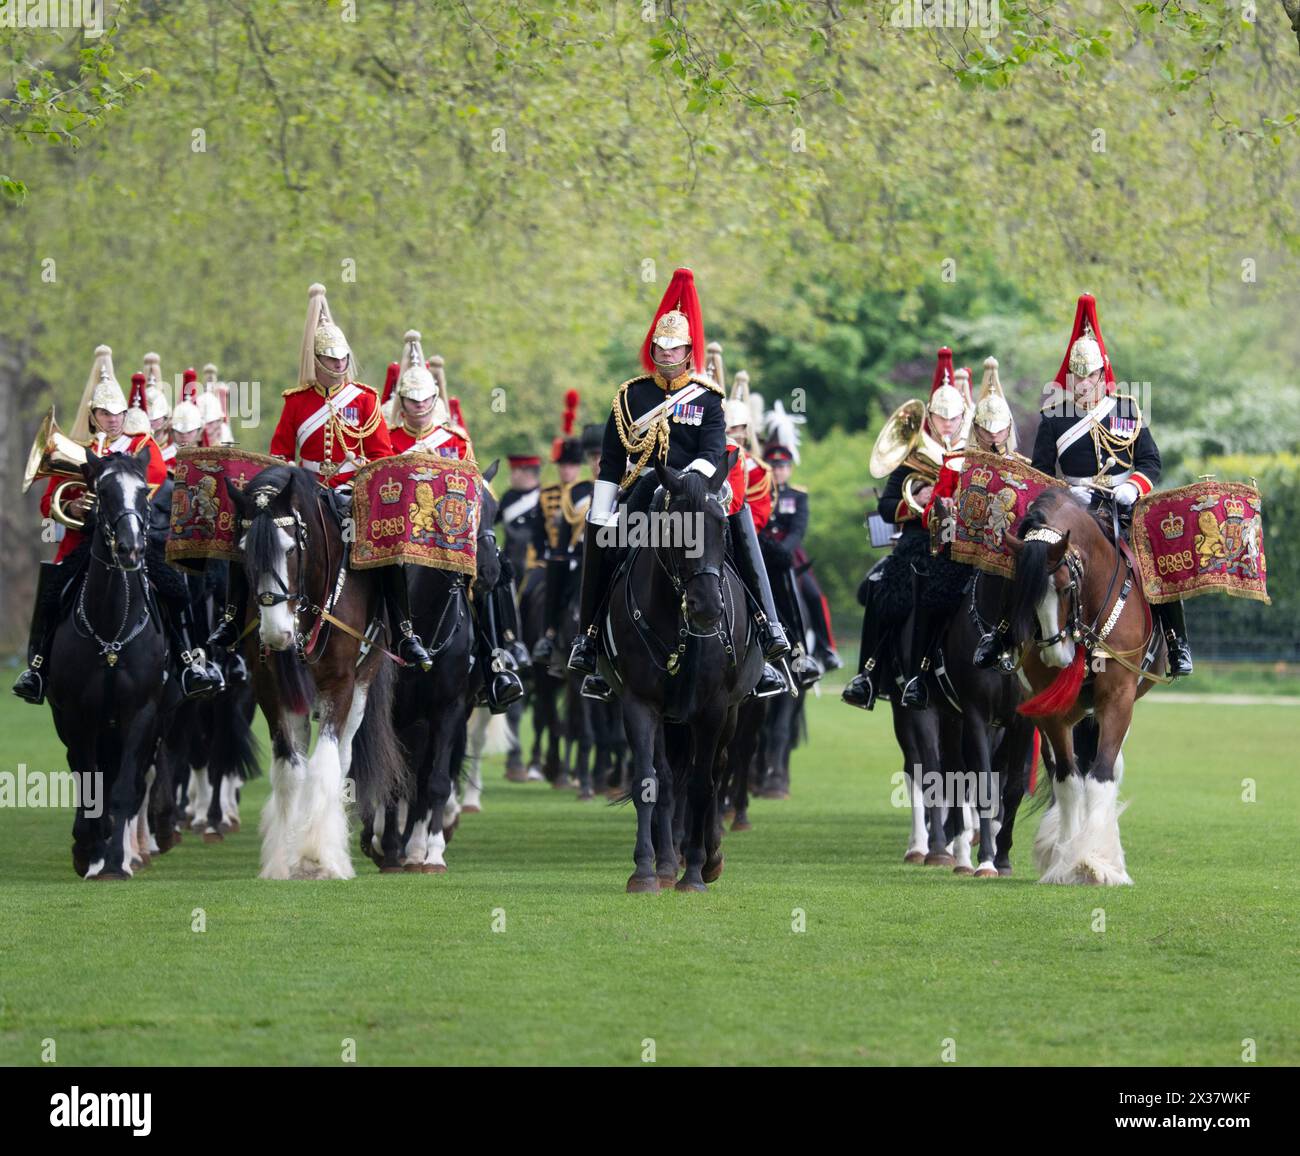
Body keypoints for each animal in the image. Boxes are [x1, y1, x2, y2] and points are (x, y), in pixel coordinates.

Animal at [226, 465, 403, 879]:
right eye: (243, 551)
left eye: (290, 548)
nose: (276, 633)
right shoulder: (271, 691)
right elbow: (291, 769)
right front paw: (283, 858)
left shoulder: (341, 684)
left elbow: (325, 766)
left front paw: (316, 857)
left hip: (362, 687)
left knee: (341, 758)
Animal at [598, 452, 759, 894]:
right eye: (674, 528)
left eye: (722, 526)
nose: (707, 607)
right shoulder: (640, 703)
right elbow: (649, 781)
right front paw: (648, 869)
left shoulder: (713, 709)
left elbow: (703, 785)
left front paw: (696, 873)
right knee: (671, 779)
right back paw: (670, 858)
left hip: (729, 713)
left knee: (716, 770)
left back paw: (709, 856)